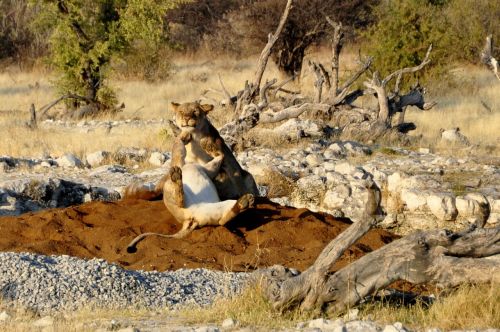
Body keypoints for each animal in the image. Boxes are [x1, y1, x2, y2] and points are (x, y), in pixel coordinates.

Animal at [123, 100, 260, 200]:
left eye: (195, 111)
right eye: (181, 111)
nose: (187, 118)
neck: (194, 138)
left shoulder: (227, 160)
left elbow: (235, 177)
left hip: (248, 177)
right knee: (157, 189)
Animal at [126, 131, 254, 253]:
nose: (188, 135)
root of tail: (186, 220)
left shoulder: (206, 169)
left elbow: (217, 156)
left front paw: (205, 144)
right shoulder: (205, 168)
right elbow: (214, 156)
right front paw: (199, 142)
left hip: (210, 209)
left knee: (222, 220)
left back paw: (244, 202)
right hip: (170, 190)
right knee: (181, 202)